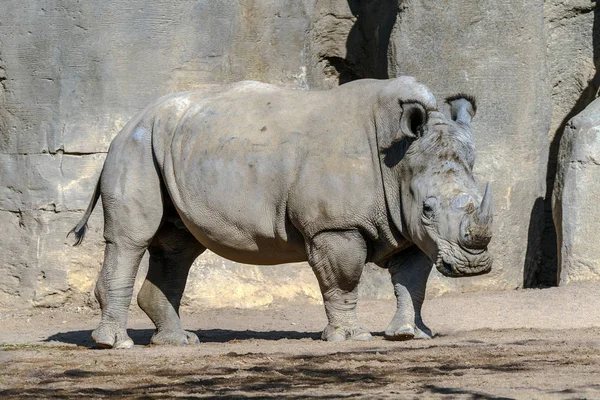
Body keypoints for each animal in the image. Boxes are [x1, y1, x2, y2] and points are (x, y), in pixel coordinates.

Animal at [70, 76, 492, 348]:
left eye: (479, 197)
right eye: (428, 208)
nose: (474, 265)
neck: (399, 160)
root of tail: (127, 123)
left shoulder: (407, 227)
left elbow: (412, 283)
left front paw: (410, 334)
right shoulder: (334, 226)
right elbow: (345, 281)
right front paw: (351, 337)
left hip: (172, 147)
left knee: (178, 248)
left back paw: (178, 342)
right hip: (135, 148)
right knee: (132, 239)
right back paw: (116, 344)